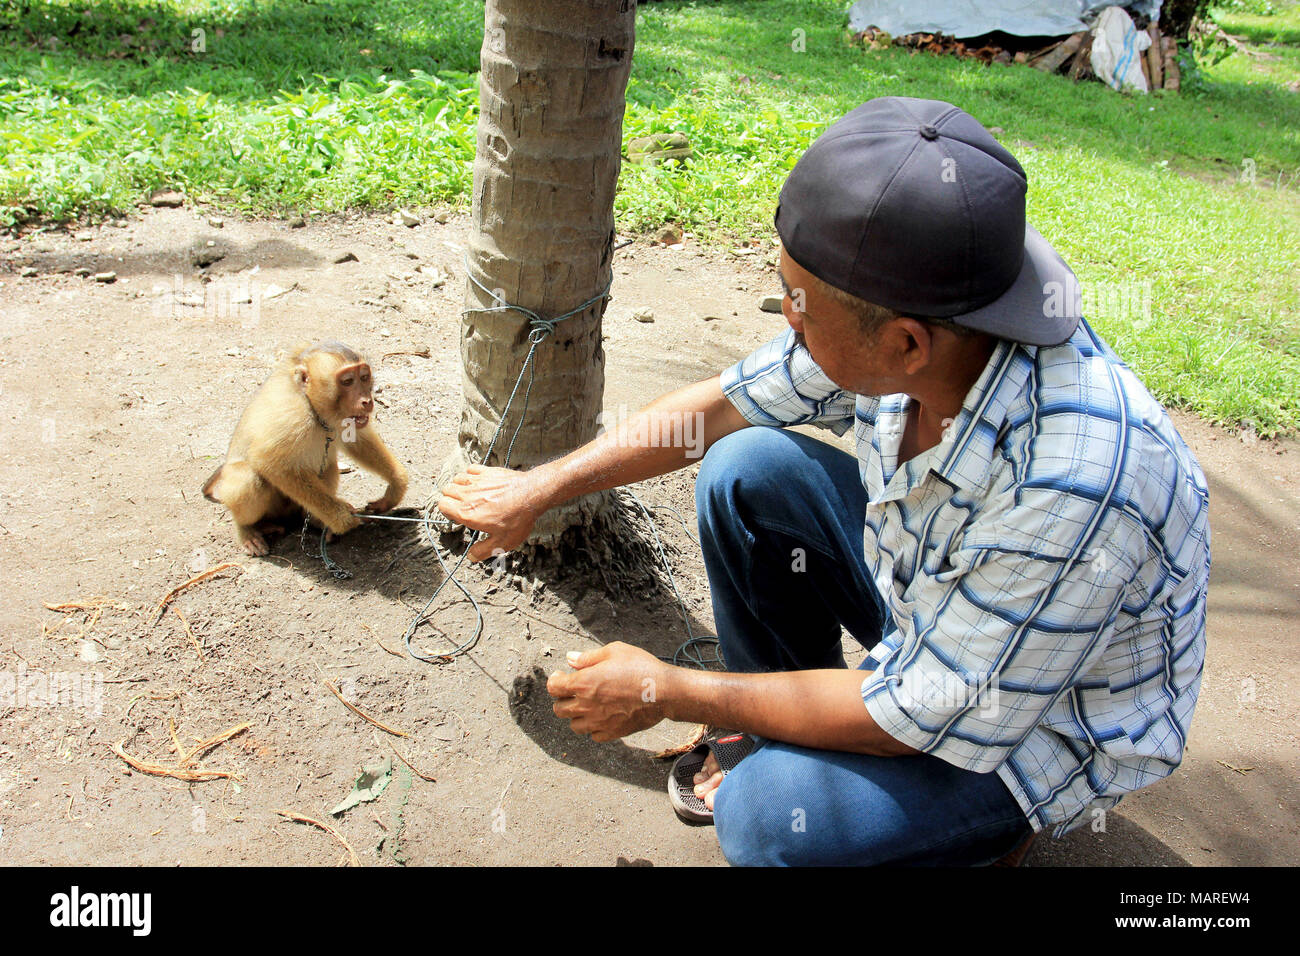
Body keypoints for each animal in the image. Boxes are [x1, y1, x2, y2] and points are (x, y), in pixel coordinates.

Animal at [200, 343, 405, 554]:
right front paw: (341, 517)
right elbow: (268, 461)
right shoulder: (293, 415)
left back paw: (316, 520)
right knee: (247, 477)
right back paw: (247, 529)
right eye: (347, 381)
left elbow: (357, 439)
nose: (367, 400)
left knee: (328, 464)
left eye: (364, 377)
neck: (314, 407)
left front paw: (396, 486)